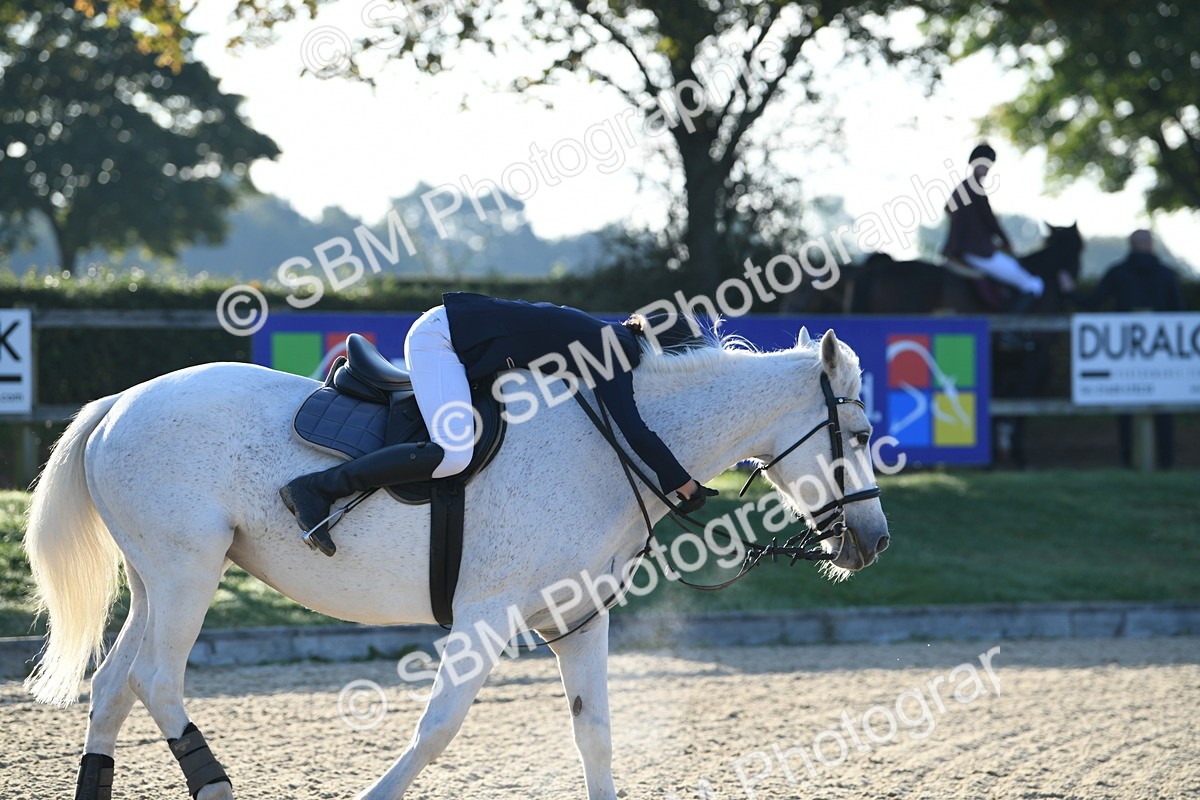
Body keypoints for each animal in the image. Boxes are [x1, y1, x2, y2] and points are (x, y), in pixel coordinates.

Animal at [23, 327, 890, 800]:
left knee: (113, 687)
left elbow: (596, 736)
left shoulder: (577, 619)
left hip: (156, 580)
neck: (616, 440)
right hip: (187, 573)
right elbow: (438, 728)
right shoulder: (485, 615)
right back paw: (214, 780)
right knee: (155, 680)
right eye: (859, 433)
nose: (874, 541)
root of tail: (123, 403)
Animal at [850, 224, 1084, 465]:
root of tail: (874, 271)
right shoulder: (1035, 359)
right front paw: (1017, 457)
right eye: (1079, 249)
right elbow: (1019, 405)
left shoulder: (1002, 364)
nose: (1072, 289)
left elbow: (998, 405)